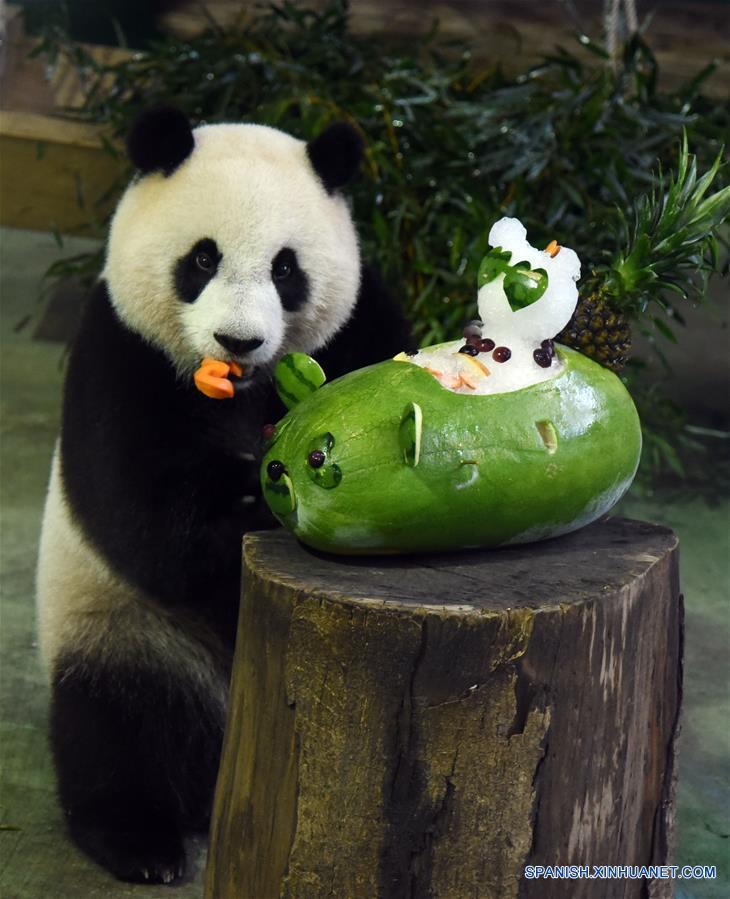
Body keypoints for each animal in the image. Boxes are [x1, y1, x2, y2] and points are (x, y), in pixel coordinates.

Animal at [35, 107, 410, 884]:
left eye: (286, 268)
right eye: (202, 259)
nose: (239, 341)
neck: (241, 389)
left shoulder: (361, 323)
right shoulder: (122, 352)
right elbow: (147, 522)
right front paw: (255, 497)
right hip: (124, 631)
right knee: (115, 725)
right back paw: (139, 840)